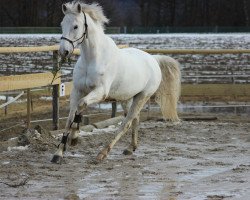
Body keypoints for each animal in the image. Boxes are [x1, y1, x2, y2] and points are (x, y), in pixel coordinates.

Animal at [51, 1, 180, 164]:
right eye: (62, 24)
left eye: (76, 26)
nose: (64, 51)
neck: (92, 59)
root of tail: (154, 60)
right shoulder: (77, 91)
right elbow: (70, 117)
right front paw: (58, 153)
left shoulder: (100, 92)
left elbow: (81, 105)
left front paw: (74, 138)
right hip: (127, 99)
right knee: (135, 120)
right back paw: (130, 148)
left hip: (142, 97)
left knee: (127, 123)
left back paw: (103, 153)